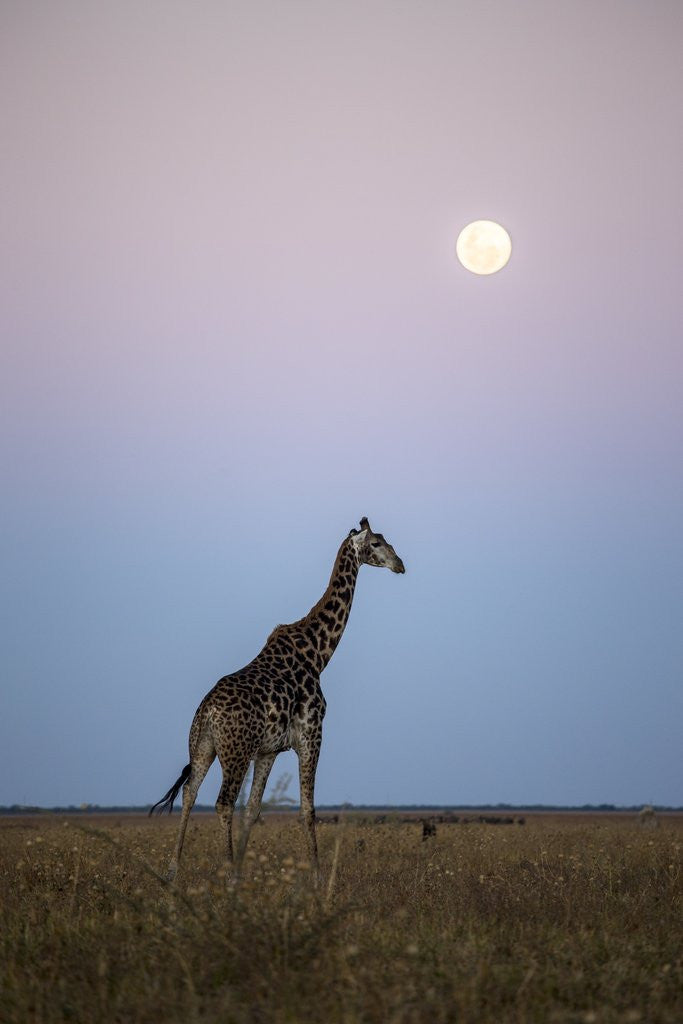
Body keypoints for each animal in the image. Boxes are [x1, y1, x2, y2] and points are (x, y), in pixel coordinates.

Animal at [149, 517, 405, 880]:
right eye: (377, 544)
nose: (400, 564)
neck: (318, 653)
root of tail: (208, 712)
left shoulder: (269, 750)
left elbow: (254, 808)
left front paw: (247, 864)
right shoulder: (312, 735)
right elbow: (307, 809)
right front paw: (316, 876)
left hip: (202, 746)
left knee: (189, 792)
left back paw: (173, 871)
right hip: (236, 752)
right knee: (222, 802)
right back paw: (229, 874)